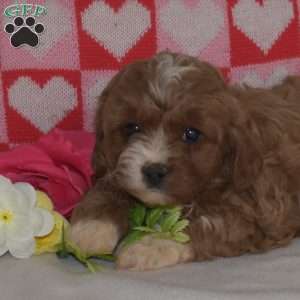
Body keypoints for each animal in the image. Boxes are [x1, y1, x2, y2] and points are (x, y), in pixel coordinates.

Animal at [68, 50, 300, 270]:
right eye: (132, 127)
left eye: (192, 134)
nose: (154, 171)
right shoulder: (117, 168)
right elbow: (109, 185)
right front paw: (91, 226)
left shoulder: (259, 213)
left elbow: (202, 225)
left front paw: (150, 246)